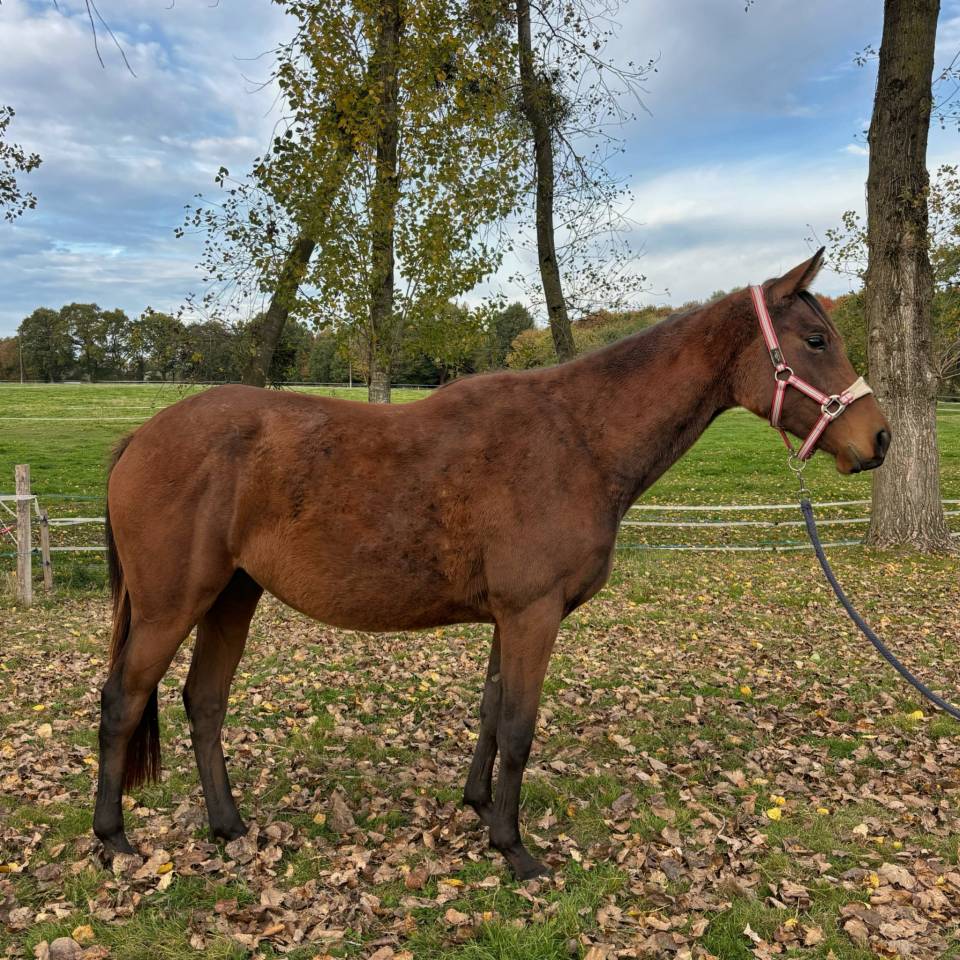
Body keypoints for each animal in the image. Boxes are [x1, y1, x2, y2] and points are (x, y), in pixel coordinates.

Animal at [93, 249, 891, 879]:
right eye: (816, 339)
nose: (878, 439)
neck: (578, 438)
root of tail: (139, 438)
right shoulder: (533, 613)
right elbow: (519, 726)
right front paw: (514, 848)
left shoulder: (510, 617)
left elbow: (489, 712)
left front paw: (478, 809)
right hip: (172, 606)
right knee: (124, 701)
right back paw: (115, 841)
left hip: (232, 596)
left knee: (204, 702)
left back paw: (228, 828)